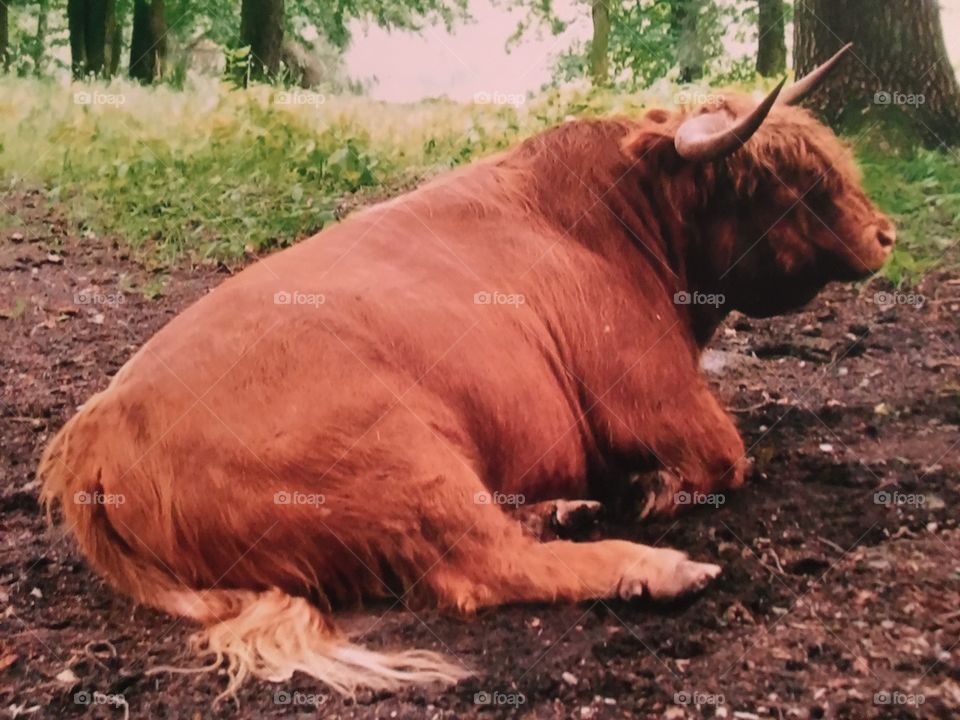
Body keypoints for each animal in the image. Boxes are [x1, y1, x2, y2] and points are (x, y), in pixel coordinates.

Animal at [39, 44, 894, 697]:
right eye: (791, 187)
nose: (885, 233)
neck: (627, 226)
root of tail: (95, 433)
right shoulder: (660, 399)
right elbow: (726, 458)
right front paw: (652, 494)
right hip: (405, 458)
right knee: (485, 566)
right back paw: (659, 567)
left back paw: (566, 511)